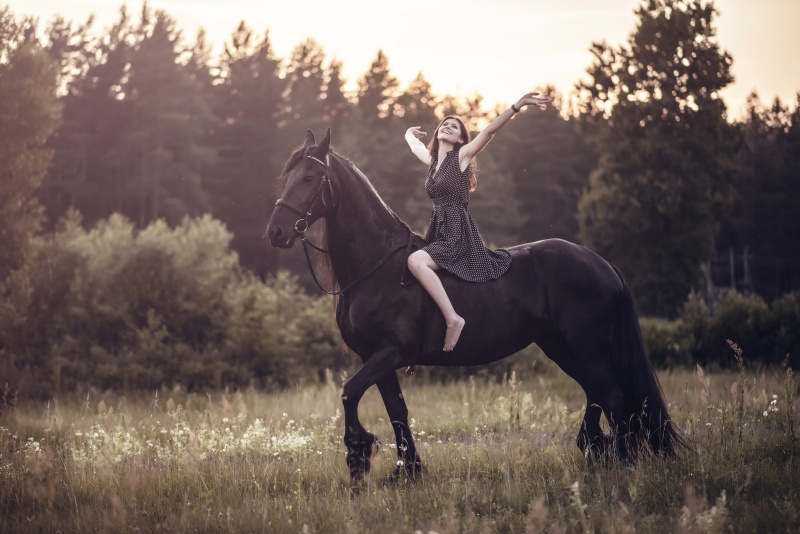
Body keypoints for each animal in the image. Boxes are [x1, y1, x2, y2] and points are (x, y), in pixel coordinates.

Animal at [266, 129, 684, 482]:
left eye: (309, 178)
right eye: (286, 176)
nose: (276, 232)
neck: (377, 266)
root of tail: (603, 264)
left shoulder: (390, 352)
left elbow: (350, 393)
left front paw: (359, 457)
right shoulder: (377, 358)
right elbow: (396, 411)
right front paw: (407, 472)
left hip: (585, 349)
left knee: (611, 396)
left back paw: (617, 463)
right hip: (563, 347)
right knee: (599, 395)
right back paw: (598, 450)